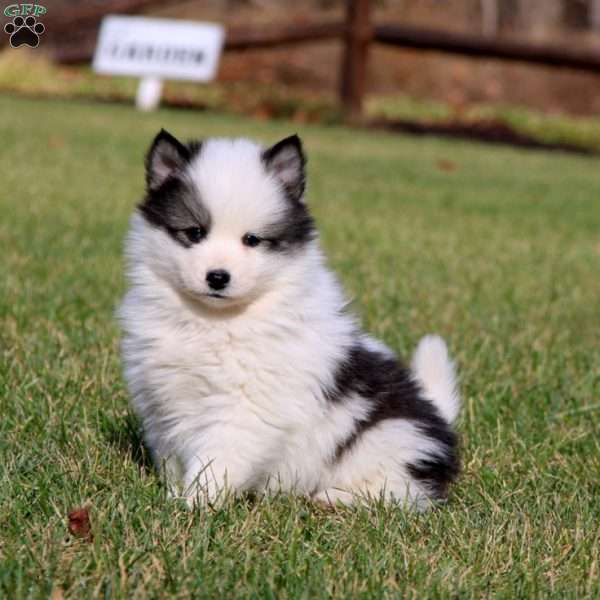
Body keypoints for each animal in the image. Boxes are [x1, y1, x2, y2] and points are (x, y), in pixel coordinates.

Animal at [119, 130, 462, 506]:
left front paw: (195, 505)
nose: (218, 277)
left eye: (252, 240)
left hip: (390, 434)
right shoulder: (163, 400)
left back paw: (333, 496)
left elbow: (217, 461)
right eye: (195, 233)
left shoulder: (244, 408)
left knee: (401, 490)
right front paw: (171, 497)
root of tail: (436, 415)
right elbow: (172, 458)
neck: (215, 321)